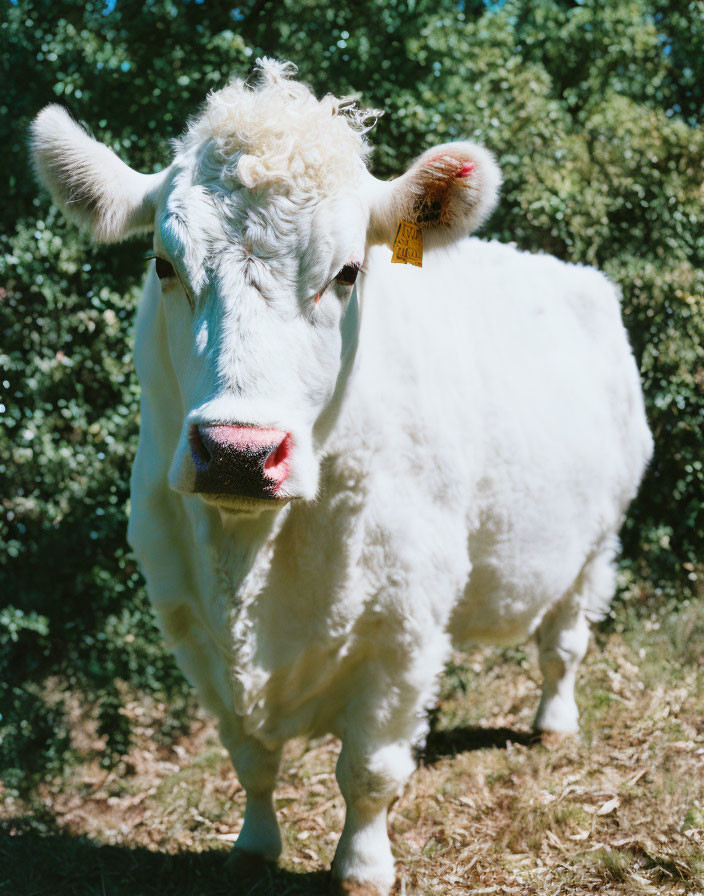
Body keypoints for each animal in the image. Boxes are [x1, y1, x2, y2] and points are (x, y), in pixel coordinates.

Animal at [31, 61, 648, 896]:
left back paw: (553, 723)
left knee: (565, 641)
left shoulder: (404, 623)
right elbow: (249, 756)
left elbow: (370, 768)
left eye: (349, 271)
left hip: (599, 538)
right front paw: (255, 844)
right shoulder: (185, 615)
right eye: (164, 265)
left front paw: (361, 866)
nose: (238, 452)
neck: (253, 565)